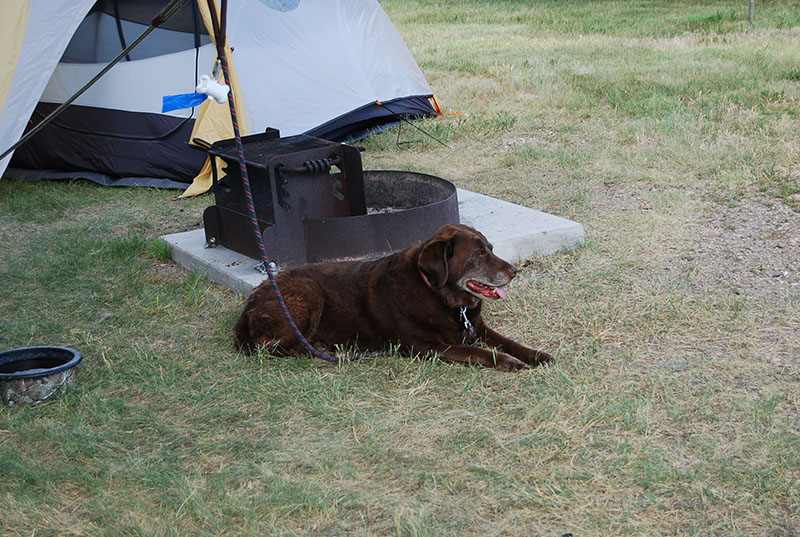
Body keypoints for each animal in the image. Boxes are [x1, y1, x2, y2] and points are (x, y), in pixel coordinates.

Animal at [234, 224, 552, 370]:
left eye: (491, 248)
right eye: (478, 255)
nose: (514, 271)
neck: (438, 293)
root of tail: (252, 301)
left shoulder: (478, 327)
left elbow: (507, 341)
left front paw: (535, 354)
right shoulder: (425, 347)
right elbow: (480, 352)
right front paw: (509, 362)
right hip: (307, 292)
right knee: (269, 345)